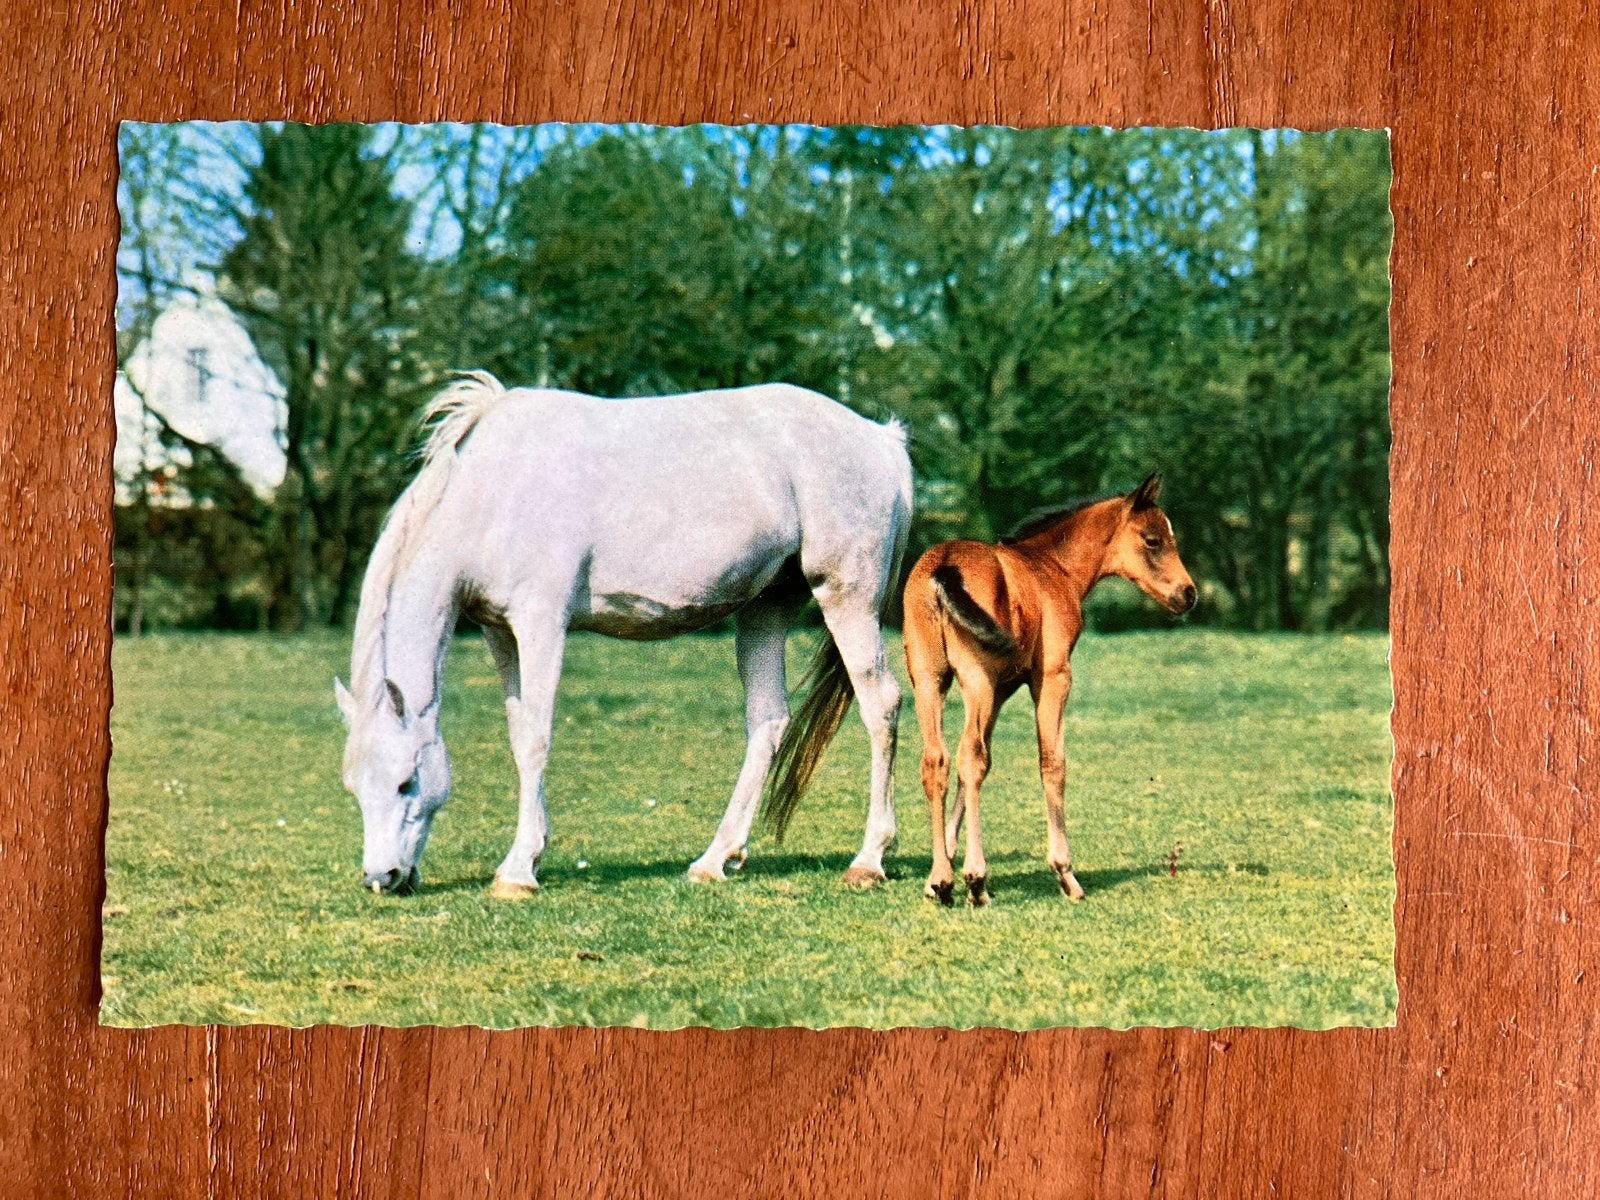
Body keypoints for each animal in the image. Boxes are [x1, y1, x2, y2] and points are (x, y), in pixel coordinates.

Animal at [335, 372, 912, 898]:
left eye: (406, 781)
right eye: (353, 786)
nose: (382, 878)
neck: (493, 488)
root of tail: (882, 440)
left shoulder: (541, 624)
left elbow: (538, 737)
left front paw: (520, 870)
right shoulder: (500, 631)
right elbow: (520, 737)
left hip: (846, 596)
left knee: (881, 704)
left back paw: (868, 860)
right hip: (766, 610)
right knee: (768, 721)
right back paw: (714, 859)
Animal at [901, 473, 1197, 907]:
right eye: (1153, 540)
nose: (1189, 594)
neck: (1052, 569)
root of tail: (943, 567)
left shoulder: (1001, 690)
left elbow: (976, 766)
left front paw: (942, 868)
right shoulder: (1053, 676)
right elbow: (1052, 762)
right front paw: (1065, 873)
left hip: (929, 680)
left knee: (938, 761)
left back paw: (941, 879)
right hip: (975, 678)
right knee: (968, 757)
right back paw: (977, 880)